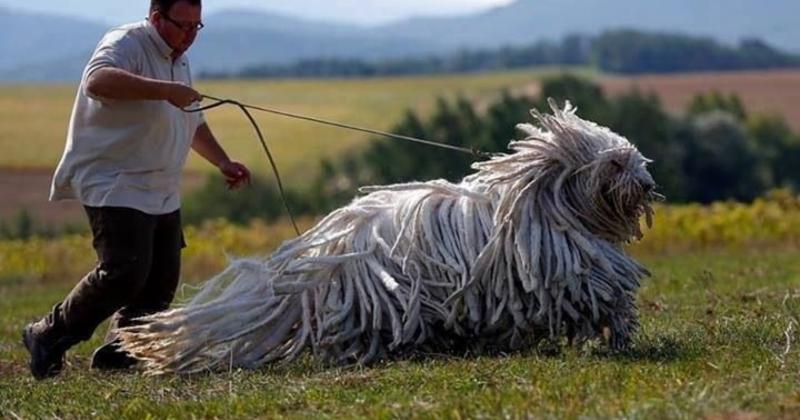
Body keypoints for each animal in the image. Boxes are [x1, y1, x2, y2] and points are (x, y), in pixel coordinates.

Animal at [117, 101, 656, 374]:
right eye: (615, 163)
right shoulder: (565, 271)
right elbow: (603, 295)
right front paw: (619, 333)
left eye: (634, 157)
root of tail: (318, 255)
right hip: (382, 296)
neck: (545, 200)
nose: (648, 185)